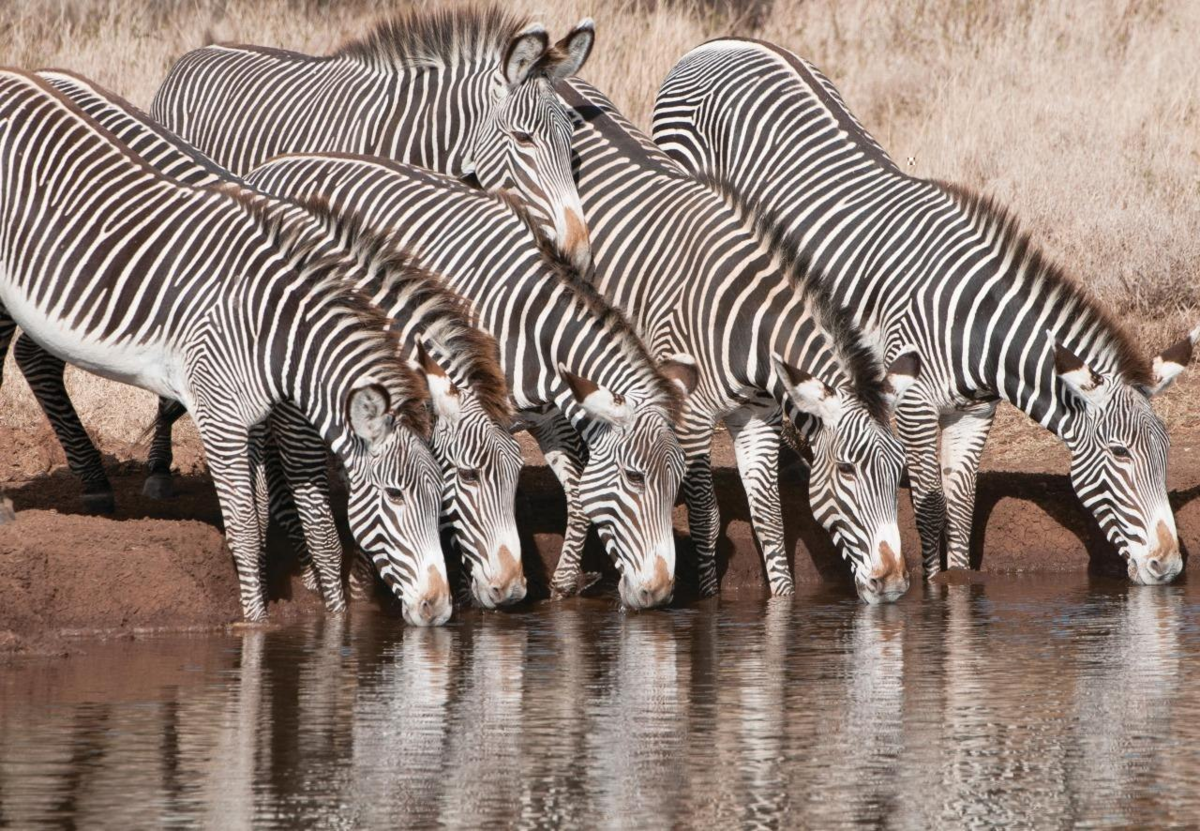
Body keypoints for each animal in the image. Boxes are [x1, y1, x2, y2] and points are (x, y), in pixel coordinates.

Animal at [36, 68, 530, 610]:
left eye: (515, 475)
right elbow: (314, 517)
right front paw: (334, 596)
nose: (512, 592)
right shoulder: (294, 416)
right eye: (469, 474)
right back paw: (101, 483)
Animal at [238, 153, 700, 610]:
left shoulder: (544, 414)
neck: (532, 329)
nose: (660, 592)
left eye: (677, 480)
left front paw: (565, 580)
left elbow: (575, 487)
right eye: (635, 477)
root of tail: (268, 167)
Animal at [552, 79, 916, 602]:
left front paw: (781, 601)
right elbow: (706, 517)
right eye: (847, 470)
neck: (748, 330)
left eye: (899, 471)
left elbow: (769, 518)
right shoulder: (690, 419)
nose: (893, 586)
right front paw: (708, 600)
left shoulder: (757, 418)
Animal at [652, 39, 1195, 583]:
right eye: (1119, 453)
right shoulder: (913, 404)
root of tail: (718, 45)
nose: (1168, 566)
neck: (975, 324)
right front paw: (933, 588)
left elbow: (962, 504)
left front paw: (958, 581)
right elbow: (930, 507)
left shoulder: (975, 411)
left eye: (1166, 452)